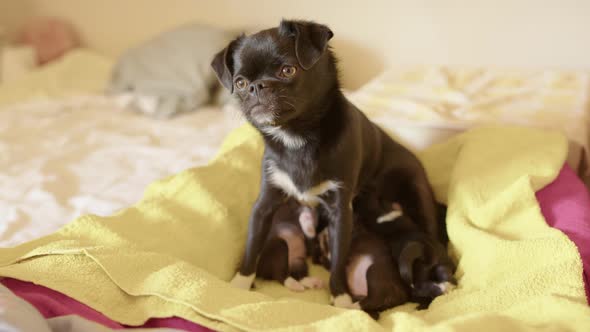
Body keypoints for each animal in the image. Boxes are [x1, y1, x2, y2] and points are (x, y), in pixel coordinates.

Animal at [212, 19, 440, 308]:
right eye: (240, 83)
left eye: (288, 70)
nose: (256, 86)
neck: (296, 137)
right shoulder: (264, 206)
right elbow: (252, 248)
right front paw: (239, 285)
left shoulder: (340, 213)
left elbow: (339, 261)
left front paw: (341, 298)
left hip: (418, 198)